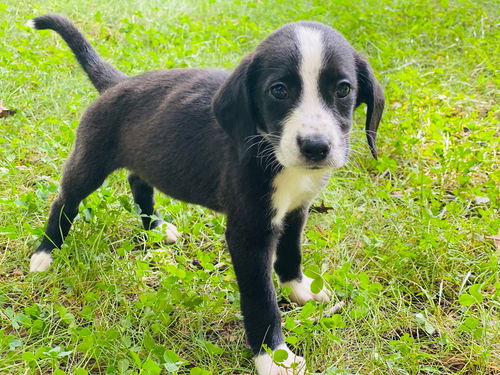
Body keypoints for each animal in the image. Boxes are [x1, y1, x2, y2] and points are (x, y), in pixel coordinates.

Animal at [29, 15, 384, 375]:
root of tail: (118, 83)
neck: (274, 154)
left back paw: (155, 227)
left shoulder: (297, 207)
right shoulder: (248, 233)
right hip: (91, 159)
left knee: (138, 181)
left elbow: (291, 252)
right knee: (65, 200)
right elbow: (261, 299)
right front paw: (273, 357)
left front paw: (297, 288)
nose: (315, 147)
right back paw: (45, 253)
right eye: (279, 91)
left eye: (343, 89)